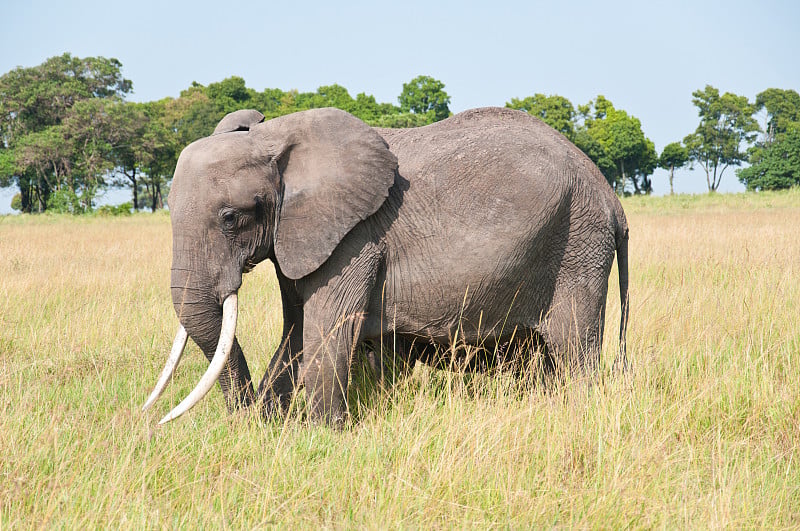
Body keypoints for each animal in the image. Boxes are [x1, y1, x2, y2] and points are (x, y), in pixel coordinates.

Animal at [142, 106, 632, 426]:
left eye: (231, 217)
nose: (242, 419)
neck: (278, 139)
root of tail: (612, 198)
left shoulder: (356, 238)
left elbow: (325, 328)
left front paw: (320, 435)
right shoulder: (301, 236)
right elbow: (296, 332)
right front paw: (271, 423)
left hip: (578, 248)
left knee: (575, 351)